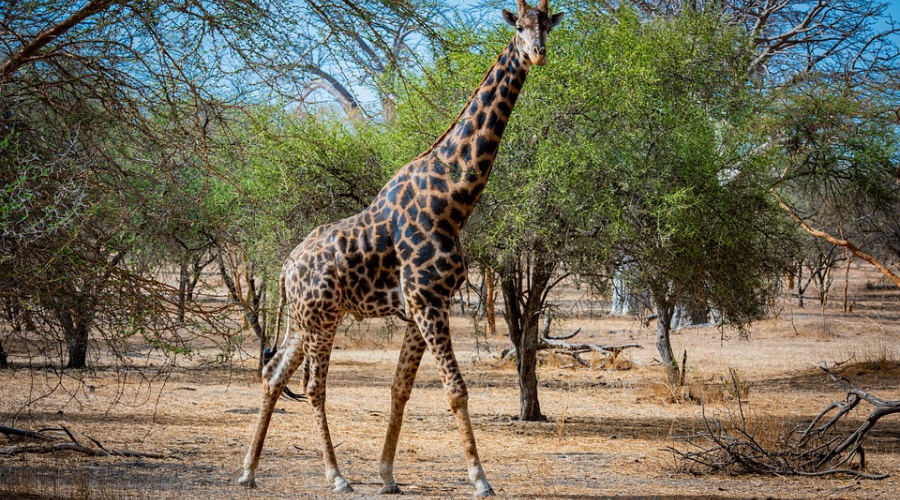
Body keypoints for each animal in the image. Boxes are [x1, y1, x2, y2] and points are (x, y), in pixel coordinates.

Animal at [239, 0, 564, 494]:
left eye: (547, 25)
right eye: (520, 27)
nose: (538, 53)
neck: (453, 199)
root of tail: (285, 268)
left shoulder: (421, 308)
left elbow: (400, 389)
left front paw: (388, 474)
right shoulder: (428, 301)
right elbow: (456, 390)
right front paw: (480, 479)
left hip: (301, 319)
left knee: (273, 376)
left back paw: (249, 470)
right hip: (323, 317)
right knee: (314, 387)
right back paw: (336, 477)